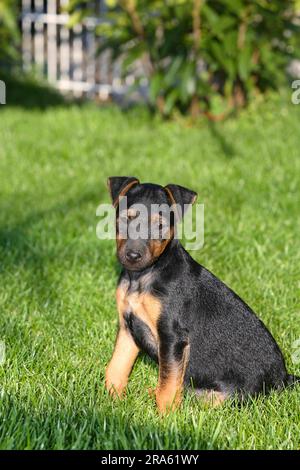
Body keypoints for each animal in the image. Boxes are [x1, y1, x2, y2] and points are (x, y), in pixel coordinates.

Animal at [105, 178, 298, 414]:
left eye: (160, 226)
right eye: (125, 219)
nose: (133, 256)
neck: (141, 277)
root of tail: (285, 379)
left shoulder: (172, 337)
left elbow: (168, 384)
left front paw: (164, 418)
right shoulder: (127, 327)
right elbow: (116, 367)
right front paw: (111, 402)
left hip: (232, 396)